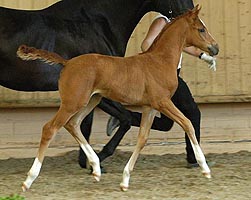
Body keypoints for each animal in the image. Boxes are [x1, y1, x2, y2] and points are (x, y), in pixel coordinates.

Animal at [0, 0, 194, 167]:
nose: (192, 16)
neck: (95, 24)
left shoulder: (93, 94)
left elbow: (86, 125)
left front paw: (86, 162)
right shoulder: (99, 93)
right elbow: (125, 118)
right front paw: (98, 158)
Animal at [17, 5, 218, 191]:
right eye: (201, 29)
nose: (215, 48)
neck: (159, 61)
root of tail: (67, 63)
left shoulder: (150, 107)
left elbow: (142, 138)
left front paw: (125, 180)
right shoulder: (162, 102)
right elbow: (187, 124)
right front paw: (205, 169)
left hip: (91, 100)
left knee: (73, 124)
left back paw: (96, 168)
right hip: (72, 102)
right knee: (50, 128)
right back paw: (29, 180)